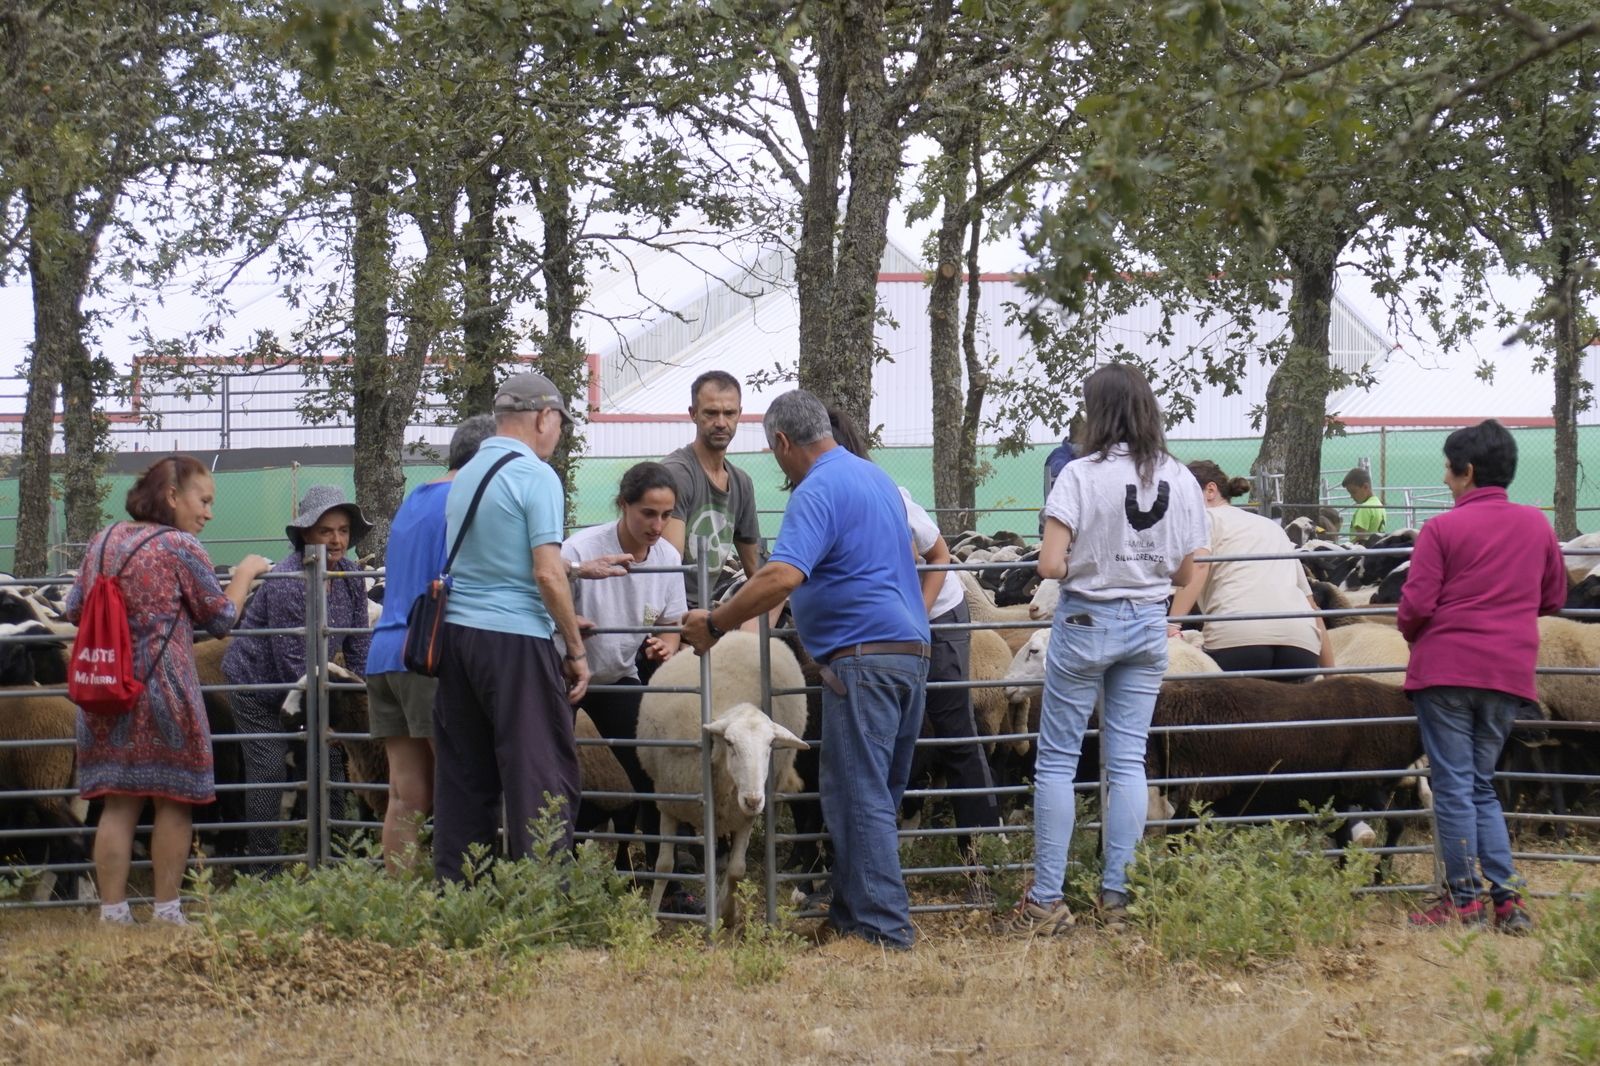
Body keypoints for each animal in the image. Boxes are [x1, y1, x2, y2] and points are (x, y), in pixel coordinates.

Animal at [636, 630, 806, 915]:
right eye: (729, 743)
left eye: (771, 745)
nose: (753, 800)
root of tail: (744, 633)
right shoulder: (670, 805)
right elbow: (664, 866)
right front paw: (651, 915)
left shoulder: (744, 816)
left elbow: (737, 870)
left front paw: (727, 913)